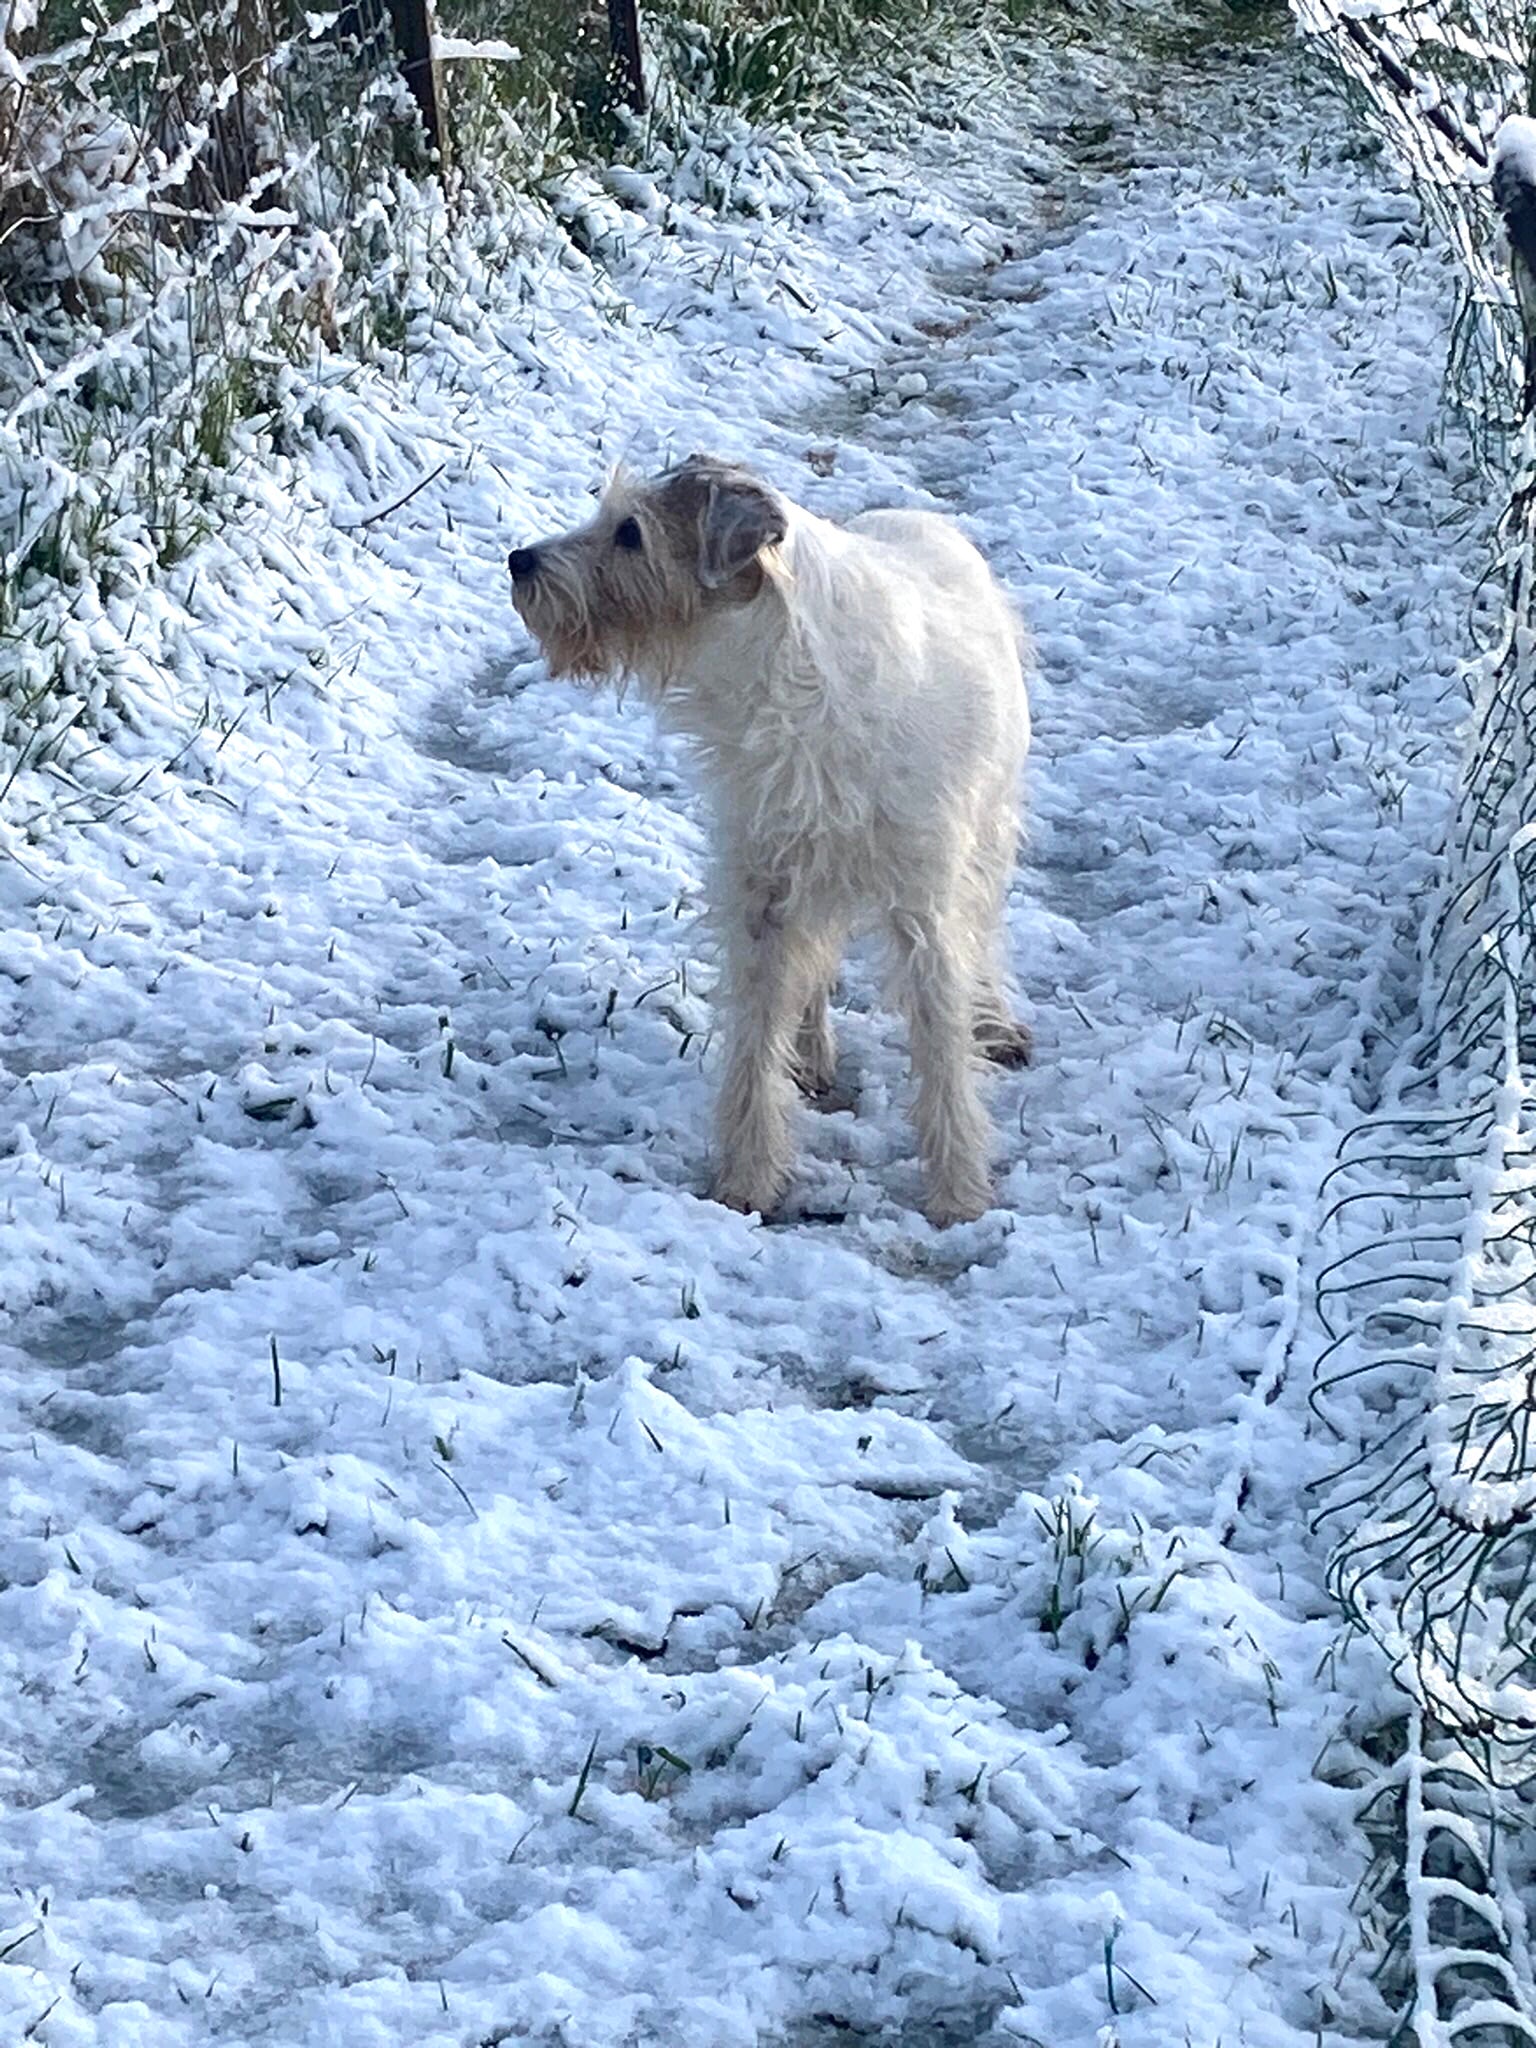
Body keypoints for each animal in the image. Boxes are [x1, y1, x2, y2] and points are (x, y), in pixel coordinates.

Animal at [507, 456, 1036, 1220]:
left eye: (631, 532)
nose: (519, 561)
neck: (791, 689)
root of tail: (911, 516)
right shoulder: (760, 900)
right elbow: (756, 1042)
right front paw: (749, 1178)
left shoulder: (923, 911)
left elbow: (941, 1045)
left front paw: (958, 1191)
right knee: (813, 971)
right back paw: (812, 1056)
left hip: (986, 834)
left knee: (984, 928)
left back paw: (993, 1022)